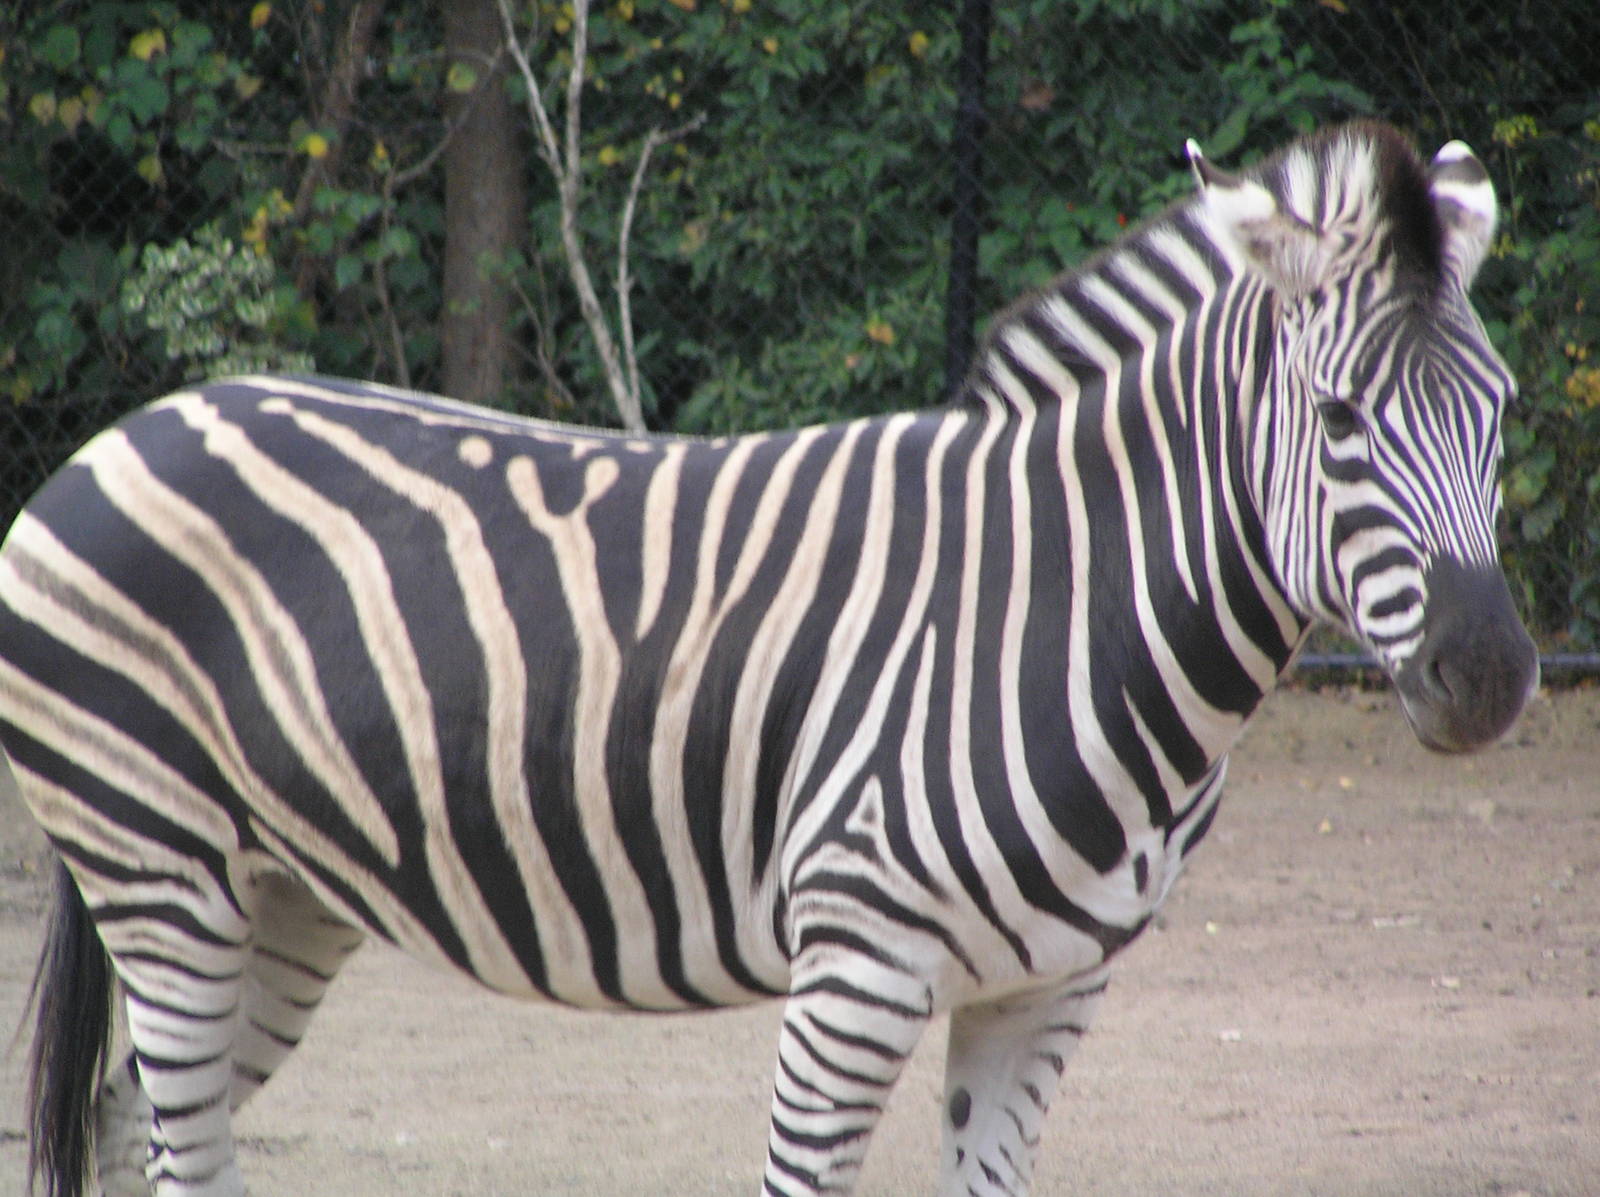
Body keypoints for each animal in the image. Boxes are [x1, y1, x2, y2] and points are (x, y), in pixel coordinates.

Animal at [4, 119, 1536, 1196]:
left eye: (1505, 408)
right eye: (1338, 418)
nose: (1491, 675)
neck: (1063, 606)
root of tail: (129, 427)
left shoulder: (1045, 991)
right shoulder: (856, 965)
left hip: (285, 893)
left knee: (135, 1120)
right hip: (159, 868)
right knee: (170, 1126)